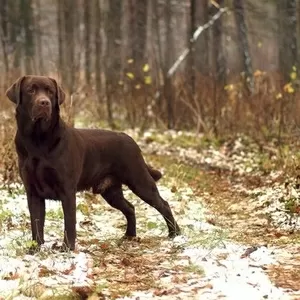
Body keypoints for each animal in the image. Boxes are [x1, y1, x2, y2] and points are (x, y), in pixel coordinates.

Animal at [5, 75, 180, 251]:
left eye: (50, 92)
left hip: (139, 180)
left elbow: (69, 223)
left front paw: (67, 248)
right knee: (130, 207)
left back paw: (175, 234)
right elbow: (36, 224)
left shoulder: (67, 190)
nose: (44, 102)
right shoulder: (33, 192)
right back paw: (129, 235)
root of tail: (130, 139)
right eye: (31, 90)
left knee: (163, 204)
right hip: (111, 191)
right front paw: (34, 250)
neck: (38, 140)